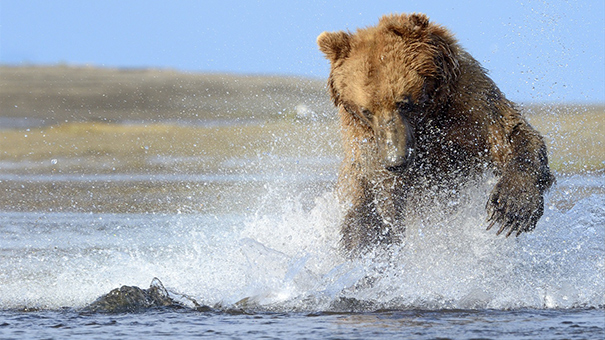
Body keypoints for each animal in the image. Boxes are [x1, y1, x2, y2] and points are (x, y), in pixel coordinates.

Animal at [318, 13, 556, 255]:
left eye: (403, 103)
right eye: (366, 111)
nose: (395, 161)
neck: (428, 119)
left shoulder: (469, 102)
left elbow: (509, 135)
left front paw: (512, 208)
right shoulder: (366, 142)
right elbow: (380, 193)